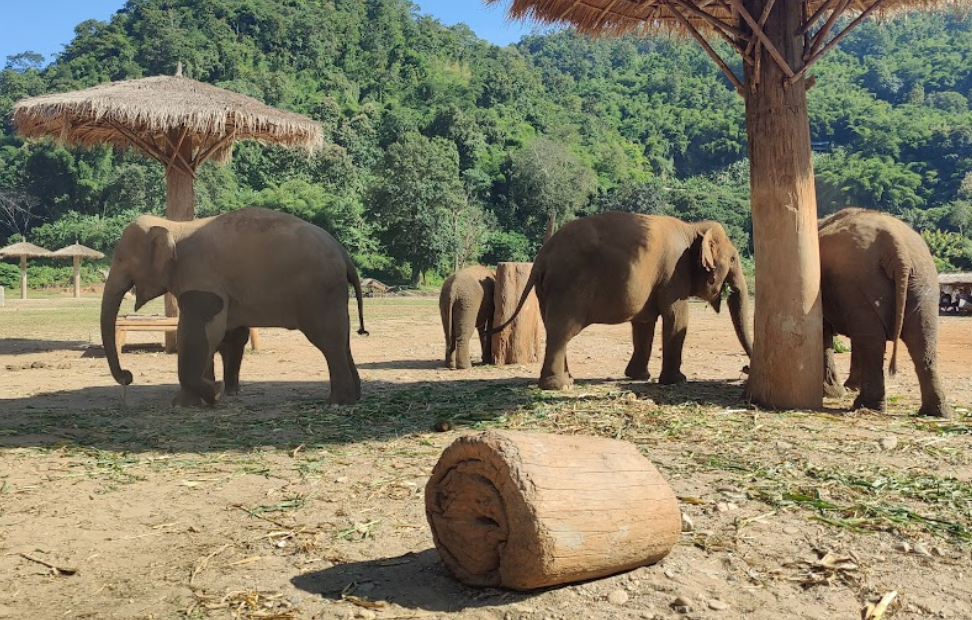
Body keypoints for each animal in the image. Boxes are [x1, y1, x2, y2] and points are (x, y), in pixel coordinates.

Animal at [101, 206, 368, 404]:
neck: (175, 227)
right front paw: (194, 401)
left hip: (320, 292)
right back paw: (354, 397)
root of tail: (343, 254)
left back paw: (338, 402)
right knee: (342, 338)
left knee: (328, 340)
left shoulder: (202, 278)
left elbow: (199, 333)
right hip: (331, 293)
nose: (128, 376)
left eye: (121, 259)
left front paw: (213, 392)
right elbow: (209, 336)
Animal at [494, 211, 752, 390]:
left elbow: (644, 324)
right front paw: (677, 381)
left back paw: (569, 379)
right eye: (733, 258)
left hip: (546, 290)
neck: (693, 227)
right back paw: (559, 385)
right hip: (567, 286)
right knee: (562, 330)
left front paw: (639, 377)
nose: (745, 368)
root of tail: (543, 255)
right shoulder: (674, 273)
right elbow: (677, 317)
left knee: (553, 328)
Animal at [816, 207, 952, 416]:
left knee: (871, 340)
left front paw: (835, 393)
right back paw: (935, 412)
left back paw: (865, 405)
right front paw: (844, 389)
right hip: (924, 281)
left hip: (860, 282)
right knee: (922, 341)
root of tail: (896, 247)